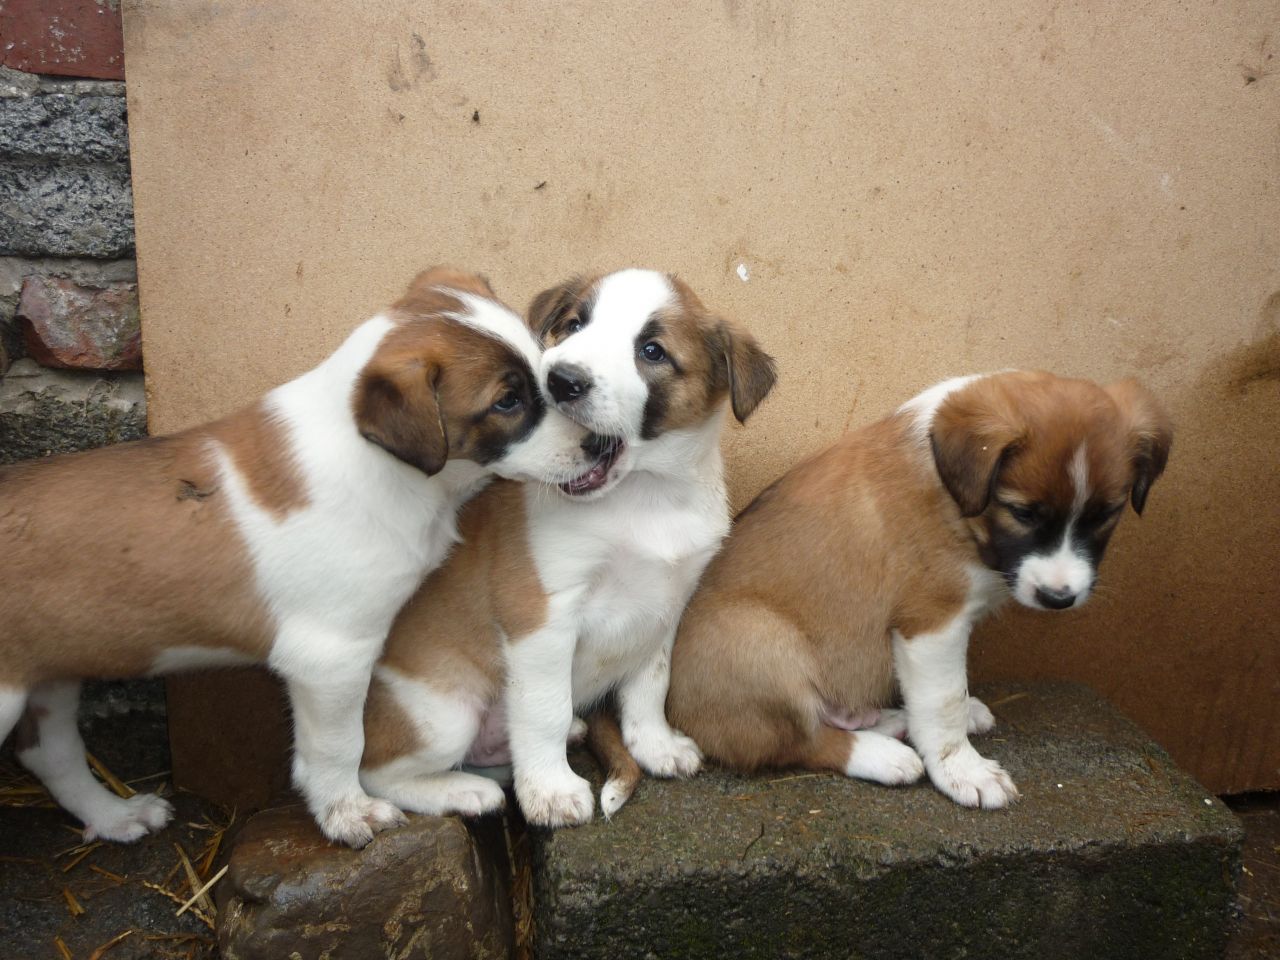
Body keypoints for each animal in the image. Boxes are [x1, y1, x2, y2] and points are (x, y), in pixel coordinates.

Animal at [0, 267, 599, 844]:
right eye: (507, 402)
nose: (599, 445)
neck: (378, 464)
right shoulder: (331, 657)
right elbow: (339, 749)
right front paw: (347, 815)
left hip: (52, 674)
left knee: (48, 752)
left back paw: (115, 816)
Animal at [363, 268, 778, 829]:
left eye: (652, 351)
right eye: (576, 324)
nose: (560, 380)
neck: (646, 499)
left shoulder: (667, 607)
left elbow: (650, 686)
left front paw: (655, 746)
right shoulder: (543, 616)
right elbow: (546, 710)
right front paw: (551, 791)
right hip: (445, 713)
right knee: (377, 773)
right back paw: (463, 792)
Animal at [665, 371, 1172, 808]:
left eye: (1106, 514)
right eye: (1022, 513)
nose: (1058, 598)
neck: (957, 499)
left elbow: (945, 695)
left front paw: (959, 723)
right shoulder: (931, 623)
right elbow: (942, 701)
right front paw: (965, 772)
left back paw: (890, 721)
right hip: (760, 637)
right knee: (800, 742)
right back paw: (884, 755)